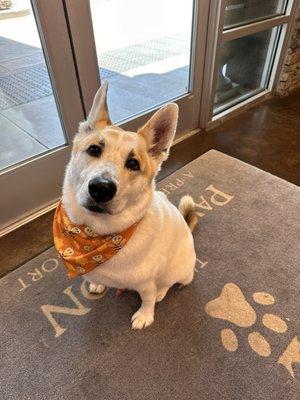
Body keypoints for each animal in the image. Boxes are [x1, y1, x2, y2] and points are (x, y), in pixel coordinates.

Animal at [59, 82, 198, 328]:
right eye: (94, 150)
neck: (97, 235)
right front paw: (99, 284)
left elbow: (147, 298)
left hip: (179, 271)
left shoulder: (145, 283)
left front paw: (145, 315)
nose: (101, 188)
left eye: (133, 163)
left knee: (168, 283)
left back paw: (162, 291)